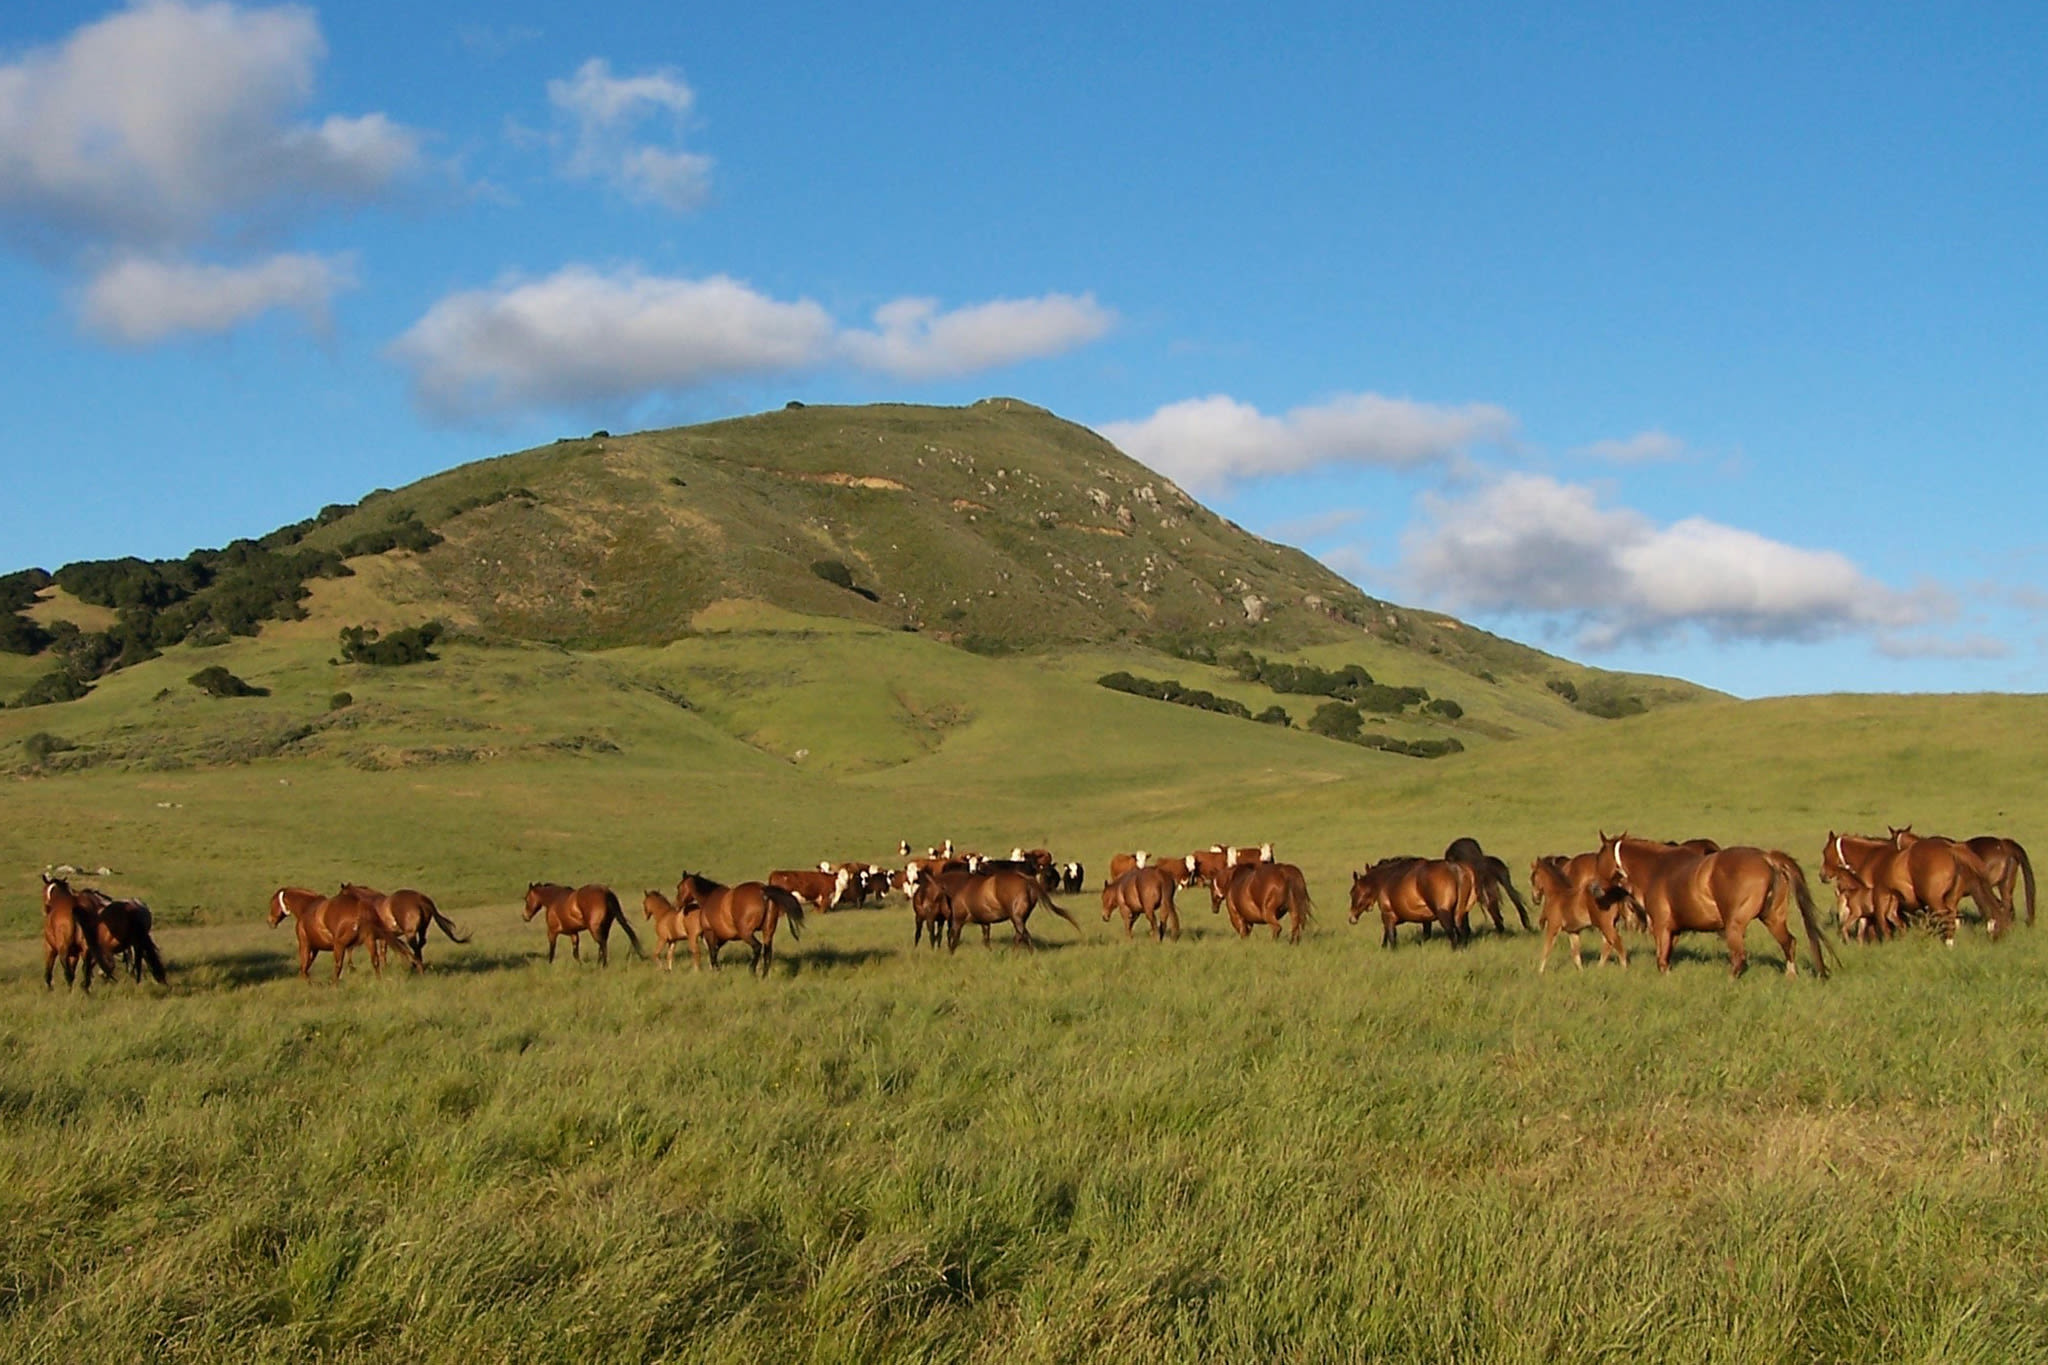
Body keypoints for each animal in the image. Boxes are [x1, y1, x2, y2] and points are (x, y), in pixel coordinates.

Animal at [268, 888, 419, 982]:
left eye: (271, 903)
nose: (270, 921)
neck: (306, 907)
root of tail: (359, 906)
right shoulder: (315, 948)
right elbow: (306, 966)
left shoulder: (305, 944)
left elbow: (304, 966)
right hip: (369, 941)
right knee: (375, 961)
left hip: (339, 945)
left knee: (338, 966)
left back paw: (333, 985)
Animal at [339, 888, 468, 970]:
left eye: (341, 894)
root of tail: (421, 899)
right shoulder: (385, 937)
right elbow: (386, 951)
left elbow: (380, 952)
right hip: (422, 929)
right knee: (421, 943)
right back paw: (416, 963)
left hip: (410, 933)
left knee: (415, 946)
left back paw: (417, 964)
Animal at [1343, 855, 1474, 949]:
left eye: (1352, 892)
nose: (1351, 918)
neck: (1384, 880)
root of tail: (1455, 869)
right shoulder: (1424, 919)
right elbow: (1425, 935)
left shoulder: (1388, 914)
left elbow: (1391, 936)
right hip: (1460, 914)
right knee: (1463, 932)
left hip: (1443, 913)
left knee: (1453, 934)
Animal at [1589, 834, 1835, 982]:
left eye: (1599, 858)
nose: (1593, 888)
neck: (1656, 868)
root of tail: (1768, 858)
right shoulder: (1675, 931)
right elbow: (1667, 958)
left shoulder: (1661, 927)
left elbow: (1661, 961)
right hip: (1773, 919)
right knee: (1788, 942)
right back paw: (1790, 976)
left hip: (1734, 925)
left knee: (1739, 957)